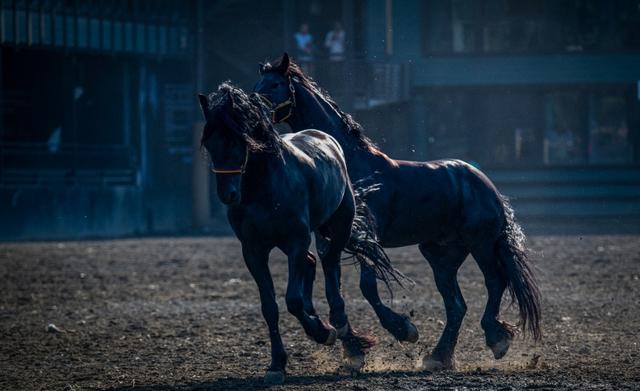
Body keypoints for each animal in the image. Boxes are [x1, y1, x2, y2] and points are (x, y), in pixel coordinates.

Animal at [199, 82, 404, 386]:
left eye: (237, 140)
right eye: (210, 144)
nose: (228, 195)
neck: (264, 186)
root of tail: (324, 137)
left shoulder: (296, 240)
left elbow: (293, 300)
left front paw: (323, 332)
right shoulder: (253, 251)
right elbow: (270, 307)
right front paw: (277, 364)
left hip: (338, 225)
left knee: (330, 266)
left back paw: (345, 334)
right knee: (312, 262)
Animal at [252, 54, 544, 370]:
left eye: (275, 84)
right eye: (257, 84)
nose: (254, 111)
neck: (351, 164)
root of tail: (487, 186)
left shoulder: (368, 237)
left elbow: (367, 286)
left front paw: (403, 329)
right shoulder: (331, 241)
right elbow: (336, 290)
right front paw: (355, 347)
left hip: (481, 244)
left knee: (495, 282)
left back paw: (495, 339)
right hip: (441, 254)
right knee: (456, 305)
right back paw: (438, 357)